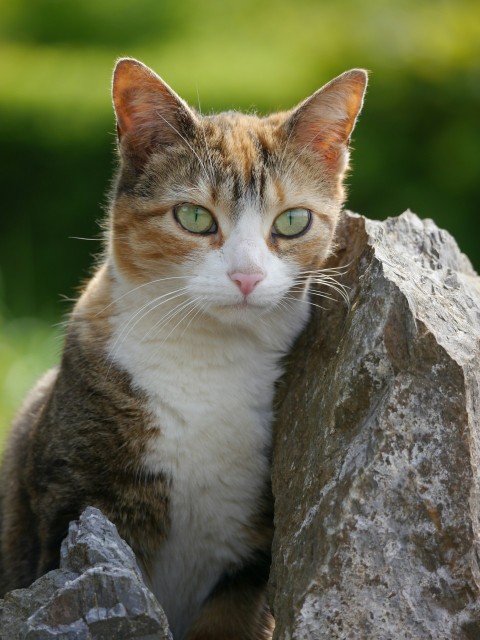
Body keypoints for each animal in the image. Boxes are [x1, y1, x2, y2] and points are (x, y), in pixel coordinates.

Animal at [0, 60, 368, 640]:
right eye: (195, 217)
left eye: (292, 221)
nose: (246, 276)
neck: (209, 361)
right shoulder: (73, 503)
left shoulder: (254, 555)